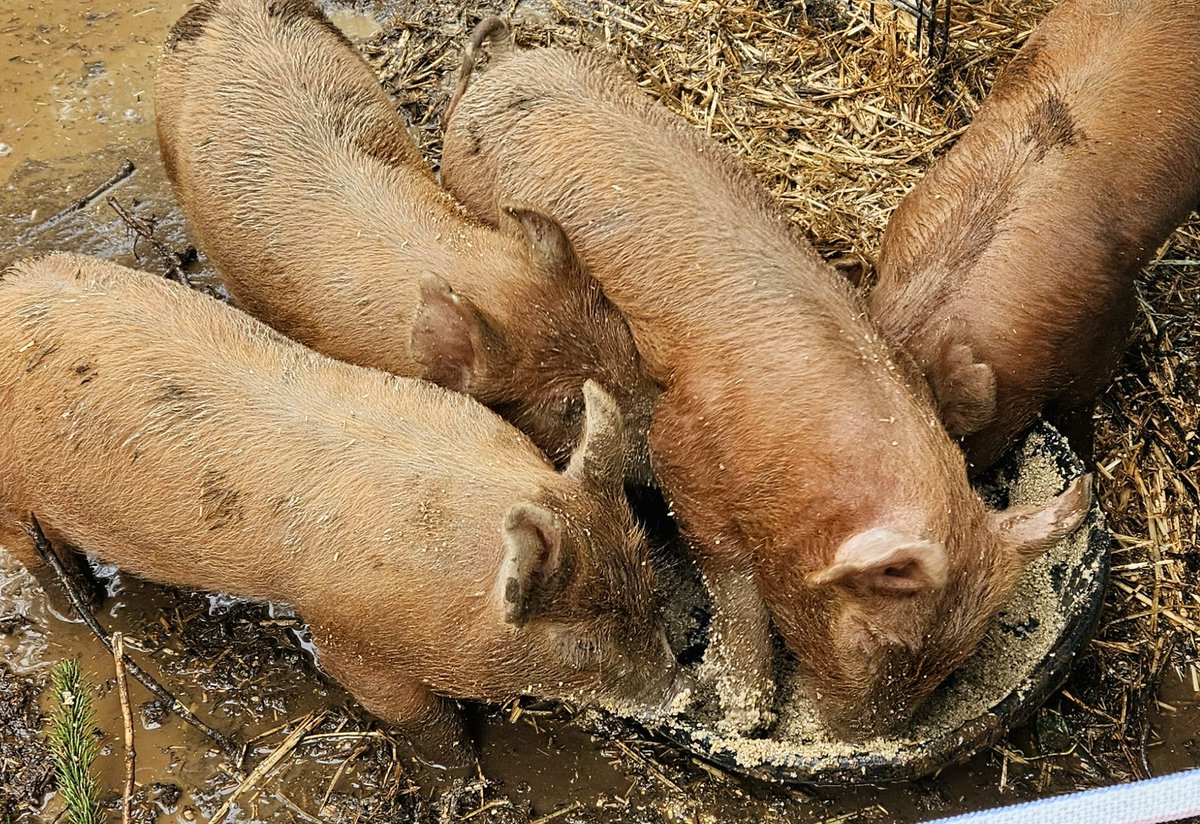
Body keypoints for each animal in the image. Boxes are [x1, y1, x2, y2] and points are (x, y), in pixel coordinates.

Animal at [0, 252, 680, 764]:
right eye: (582, 645)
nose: (681, 691)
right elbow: (418, 716)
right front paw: (465, 771)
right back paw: (90, 601)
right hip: (14, 498)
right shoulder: (348, 638)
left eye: (652, 586)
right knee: (40, 559)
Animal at [440, 21, 1092, 737]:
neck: (802, 470)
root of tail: (499, 66)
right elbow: (732, 581)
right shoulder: (684, 458)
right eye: (870, 639)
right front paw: (748, 717)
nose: (859, 738)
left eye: (955, 662)